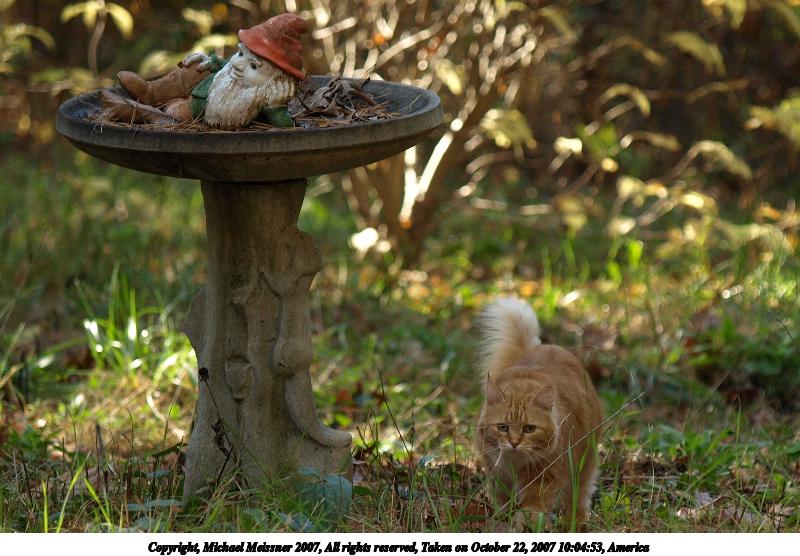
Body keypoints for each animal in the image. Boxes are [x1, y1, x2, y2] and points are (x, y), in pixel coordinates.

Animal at [476, 297, 603, 528]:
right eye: (503, 427)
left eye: (529, 429)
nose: (514, 443)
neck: (515, 464)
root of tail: (546, 346)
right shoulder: (497, 475)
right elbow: (503, 503)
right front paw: (503, 522)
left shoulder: (546, 477)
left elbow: (532, 508)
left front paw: (525, 526)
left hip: (584, 462)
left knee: (580, 495)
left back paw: (576, 521)